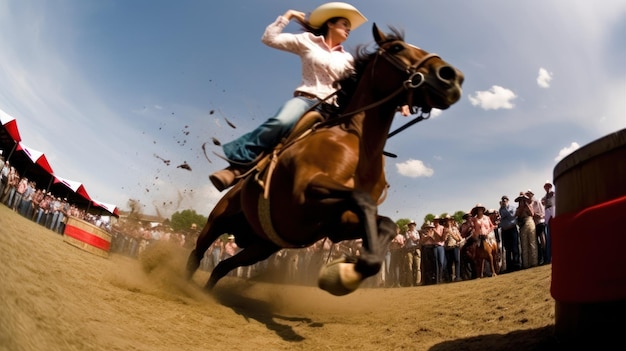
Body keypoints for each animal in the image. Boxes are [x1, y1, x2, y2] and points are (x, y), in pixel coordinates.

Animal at [185, 23, 464, 296]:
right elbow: (362, 199)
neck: (357, 143)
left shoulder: (339, 224)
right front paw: (347, 272)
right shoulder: (305, 190)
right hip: (217, 221)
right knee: (196, 256)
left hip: (261, 246)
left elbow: (386, 225)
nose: (451, 76)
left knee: (222, 266)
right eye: (397, 48)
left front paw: (351, 270)